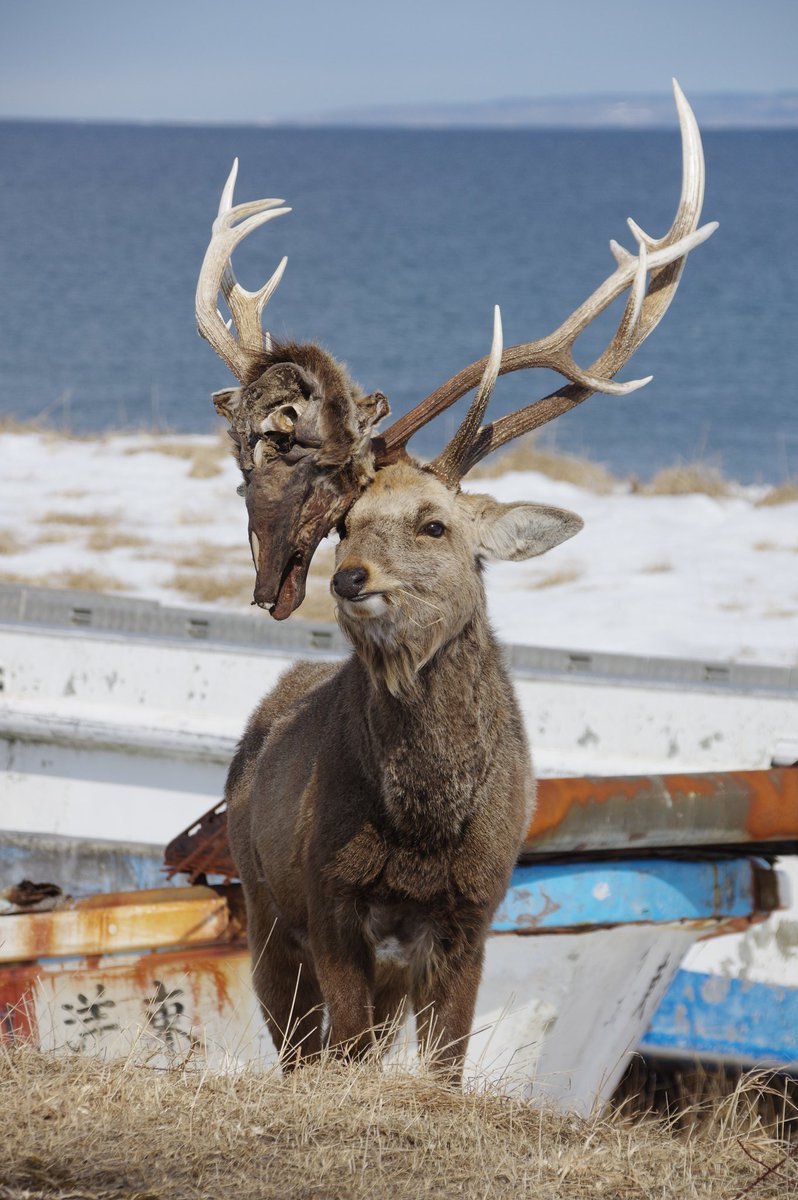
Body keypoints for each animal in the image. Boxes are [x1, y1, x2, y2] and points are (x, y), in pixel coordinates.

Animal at [195, 81, 716, 1082]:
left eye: (436, 524)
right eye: (344, 525)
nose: (351, 581)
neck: (424, 837)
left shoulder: (476, 917)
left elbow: (447, 1065)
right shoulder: (327, 901)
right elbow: (347, 1056)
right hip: (262, 905)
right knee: (298, 1044)